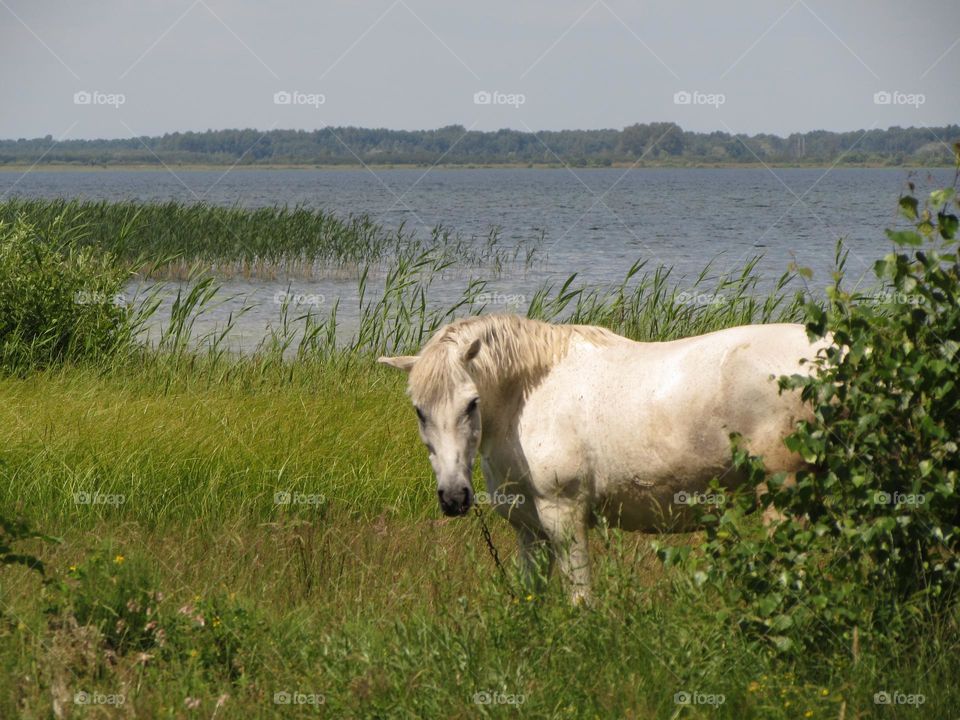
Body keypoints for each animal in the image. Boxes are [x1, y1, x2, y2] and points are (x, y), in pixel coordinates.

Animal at [379, 314, 828, 603]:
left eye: (471, 404)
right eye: (419, 410)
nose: (454, 497)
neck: (528, 398)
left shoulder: (564, 515)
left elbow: (580, 598)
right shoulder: (528, 528)